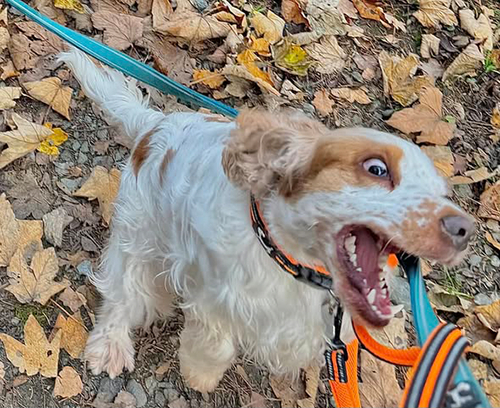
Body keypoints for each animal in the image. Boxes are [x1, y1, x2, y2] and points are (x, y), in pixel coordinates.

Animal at [60, 49, 475, 392]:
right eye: (376, 168)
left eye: (442, 193)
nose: (464, 229)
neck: (289, 261)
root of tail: (155, 126)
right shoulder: (215, 297)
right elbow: (214, 344)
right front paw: (199, 375)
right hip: (140, 229)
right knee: (123, 290)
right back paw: (110, 346)